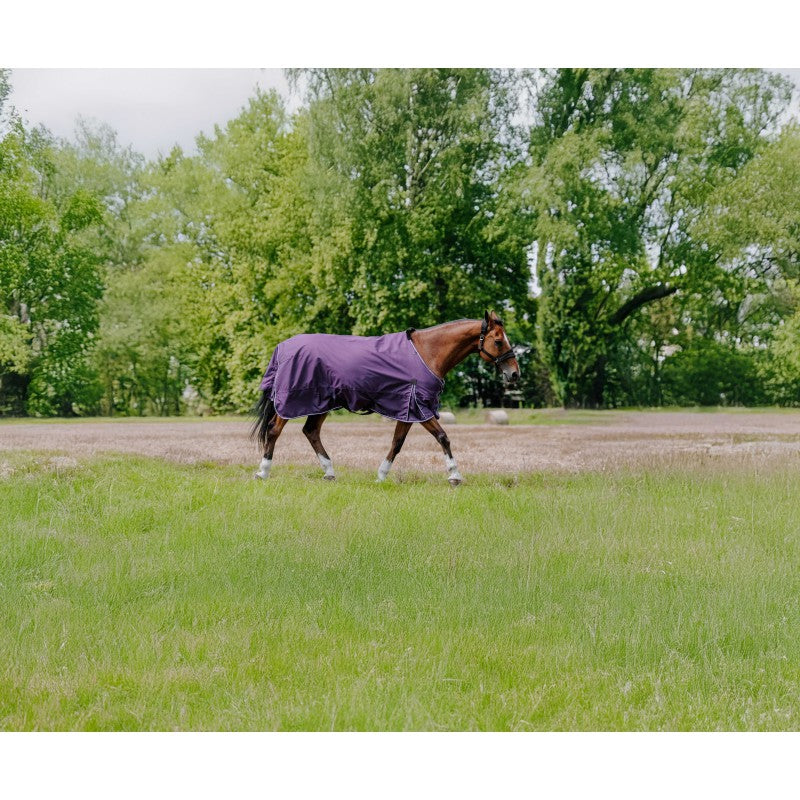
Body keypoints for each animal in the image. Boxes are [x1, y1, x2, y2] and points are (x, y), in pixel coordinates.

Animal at [251, 310, 519, 485]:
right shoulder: (419, 407)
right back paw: (262, 472)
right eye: (498, 341)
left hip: (321, 403)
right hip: (292, 402)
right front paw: (454, 475)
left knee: (311, 431)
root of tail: (282, 348)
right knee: (274, 430)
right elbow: (443, 437)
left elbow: (397, 443)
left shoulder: (407, 409)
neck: (427, 352)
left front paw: (381, 475)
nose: (514, 373)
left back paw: (329, 472)